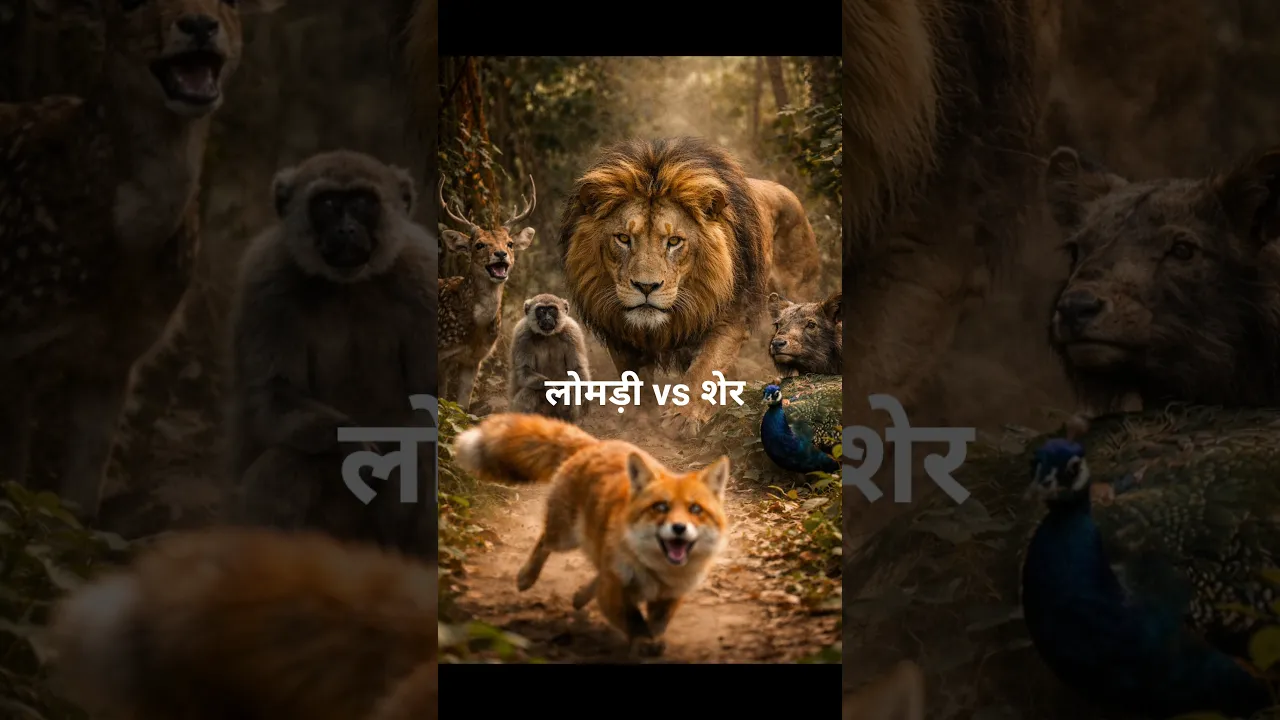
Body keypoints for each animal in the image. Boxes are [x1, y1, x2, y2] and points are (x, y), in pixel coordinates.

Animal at [453, 412, 730, 656]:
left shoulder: (670, 597)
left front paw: (653, 641)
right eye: (660, 507)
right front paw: (643, 643)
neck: (658, 572)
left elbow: (656, 625)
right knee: (544, 543)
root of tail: (597, 444)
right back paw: (526, 577)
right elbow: (635, 622)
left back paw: (579, 596)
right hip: (565, 537)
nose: (679, 528)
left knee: (593, 575)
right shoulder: (614, 592)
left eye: (696, 509)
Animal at [557, 136, 821, 426]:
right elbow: (634, 378)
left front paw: (682, 417)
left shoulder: (732, 315)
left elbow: (704, 369)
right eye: (624, 238)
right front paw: (642, 418)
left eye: (674, 241)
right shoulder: (616, 325)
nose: (646, 287)